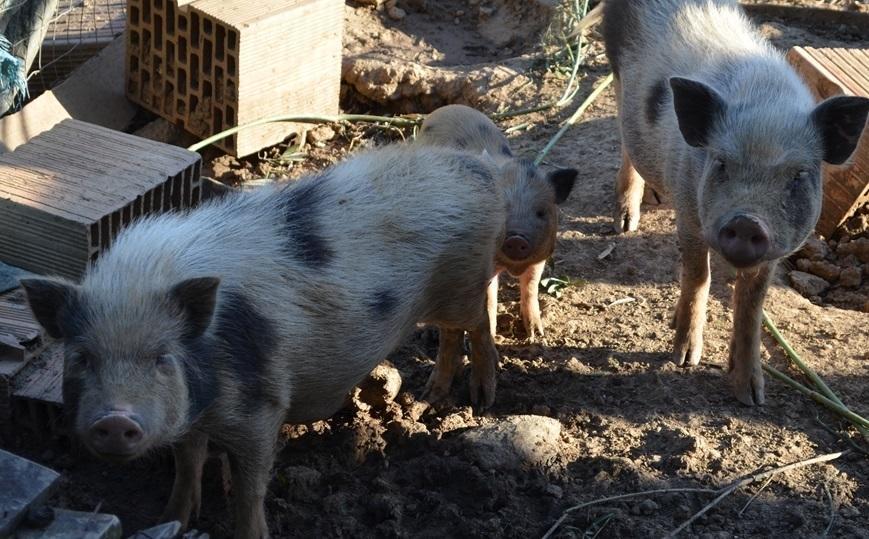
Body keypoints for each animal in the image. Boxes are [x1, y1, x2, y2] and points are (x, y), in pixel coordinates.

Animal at [20, 144, 506, 539]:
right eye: (82, 357)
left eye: (162, 358)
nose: (116, 419)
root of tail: (478, 169)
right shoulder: (193, 412)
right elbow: (187, 463)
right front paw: (173, 519)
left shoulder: (261, 408)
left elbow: (249, 488)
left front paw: (245, 529)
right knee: (454, 333)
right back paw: (434, 394)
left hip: (463, 283)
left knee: (479, 321)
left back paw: (480, 399)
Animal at [416, 104, 576, 342]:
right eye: (502, 208)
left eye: (540, 212)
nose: (516, 238)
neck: (511, 266)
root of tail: (447, 109)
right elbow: (489, 298)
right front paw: (492, 336)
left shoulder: (541, 255)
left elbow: (531, 287)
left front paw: (536, 334)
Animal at [600, 0, 868, 404]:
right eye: (722, 163)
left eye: (798, 175)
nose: (747, 220)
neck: (766, 102)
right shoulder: (690, 214)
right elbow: (699, 277)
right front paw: (684, 360)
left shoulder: (775, 250)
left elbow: (751, 306)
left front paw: (752, 396)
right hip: (617, 76)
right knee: (625, 139)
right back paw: (626, 223)